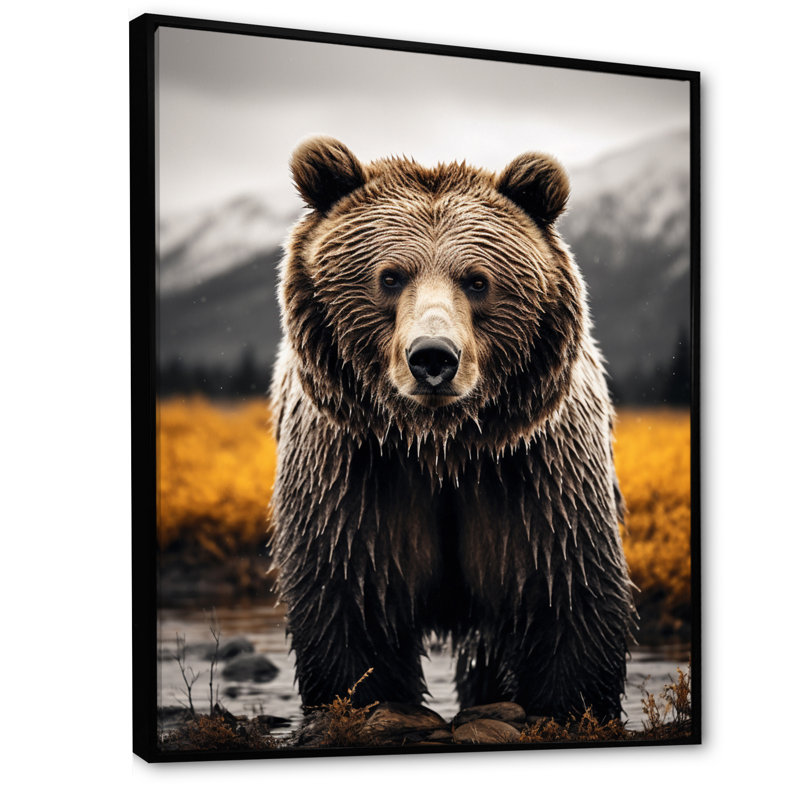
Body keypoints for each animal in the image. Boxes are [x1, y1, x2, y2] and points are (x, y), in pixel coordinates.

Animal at [270, 136, 636, 722]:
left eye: (477, 280)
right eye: (390, 276)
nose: (433, 358)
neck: (441, 445)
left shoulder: (534, 475)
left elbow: (563, 592)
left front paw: (568, 705)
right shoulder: (354, 475)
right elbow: (350, 602)